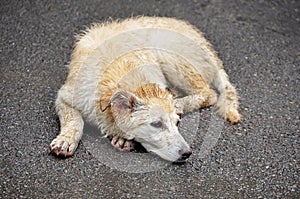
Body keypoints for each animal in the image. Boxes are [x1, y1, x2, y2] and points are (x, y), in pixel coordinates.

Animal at [50, 16, 240, 162]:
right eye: (156, 124)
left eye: (177, 123)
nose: (187, 153)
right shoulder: (65, 96)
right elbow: (74, 119)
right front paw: (66, 140)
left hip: (169, 55)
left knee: (209, 93)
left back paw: (180, 103)